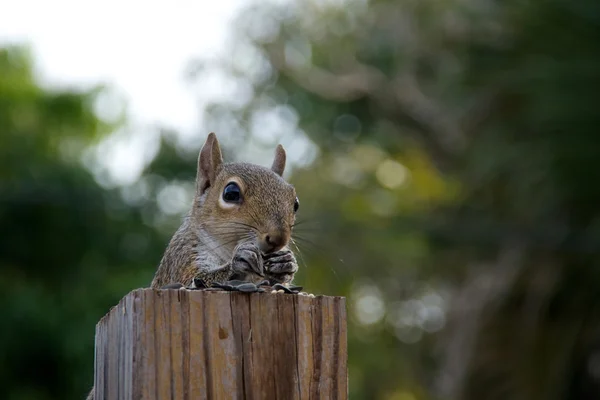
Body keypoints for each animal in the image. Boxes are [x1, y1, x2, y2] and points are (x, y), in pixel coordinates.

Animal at [85, 133, 300, 398]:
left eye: (295, 203)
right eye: (230, 193)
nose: (278, 238)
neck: (226, 248)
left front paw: (286, 263)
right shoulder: (182, 261)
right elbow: (196, 280)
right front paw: (240, 260)